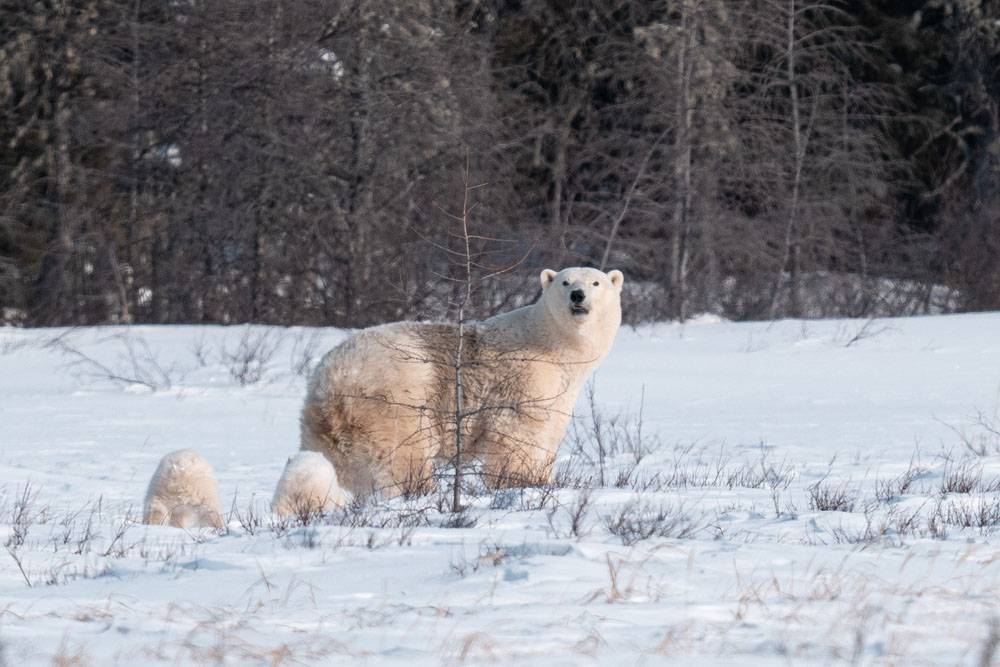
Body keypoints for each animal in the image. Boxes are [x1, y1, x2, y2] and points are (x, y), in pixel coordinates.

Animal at [300, 266, 620, 500]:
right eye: (565, 282)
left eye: (596, 283)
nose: (577, 295)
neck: (551, 345)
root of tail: (333, 384)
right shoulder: (525, 379)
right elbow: (517, 435)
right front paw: (520, 484)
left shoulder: (560, 390)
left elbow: (548, 433)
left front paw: (543, 479)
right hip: (394, 398)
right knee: (404, 454)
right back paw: (421, 490)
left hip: (323, 426)